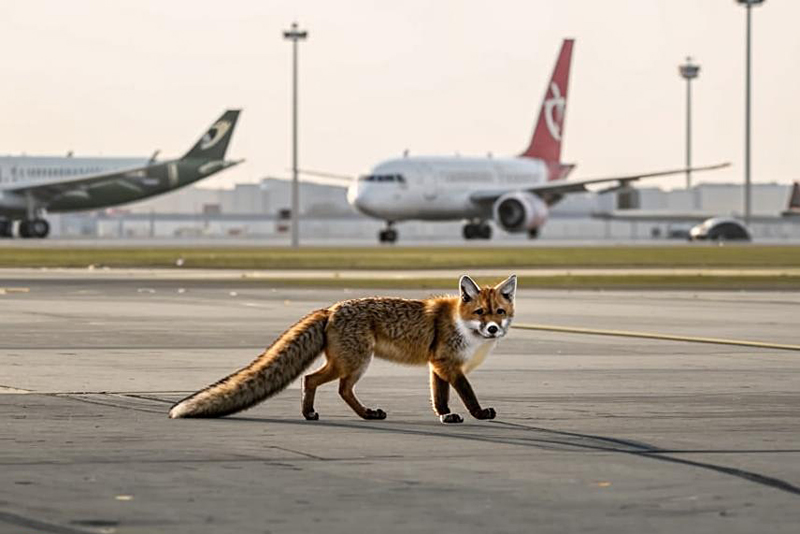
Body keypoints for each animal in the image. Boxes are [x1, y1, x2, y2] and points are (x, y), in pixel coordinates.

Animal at [170, 278, 520, 426]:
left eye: (499, 312)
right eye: (480, 312)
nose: (493, 329)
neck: (465, 328)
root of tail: (331, 307)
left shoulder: (437, 366)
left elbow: (440, 398)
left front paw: (446, 416)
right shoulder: (448, 365)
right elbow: (468, 393)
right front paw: (477, 413)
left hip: (349, 363)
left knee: (322, 384)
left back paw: (341, 414)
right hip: (354, 363)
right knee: (322, 383)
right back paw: (325, 413)